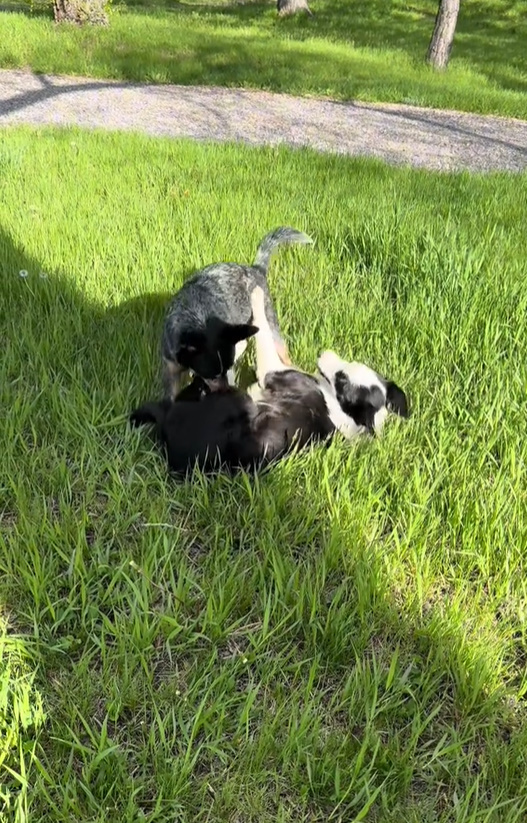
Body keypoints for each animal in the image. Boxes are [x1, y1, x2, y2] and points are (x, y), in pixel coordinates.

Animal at [161, 229, 314, 400]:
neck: (196, 315)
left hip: (269, 322)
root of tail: (256, 269)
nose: (229, 393)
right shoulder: (170, 366)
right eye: (212, 376)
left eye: (227, 368)